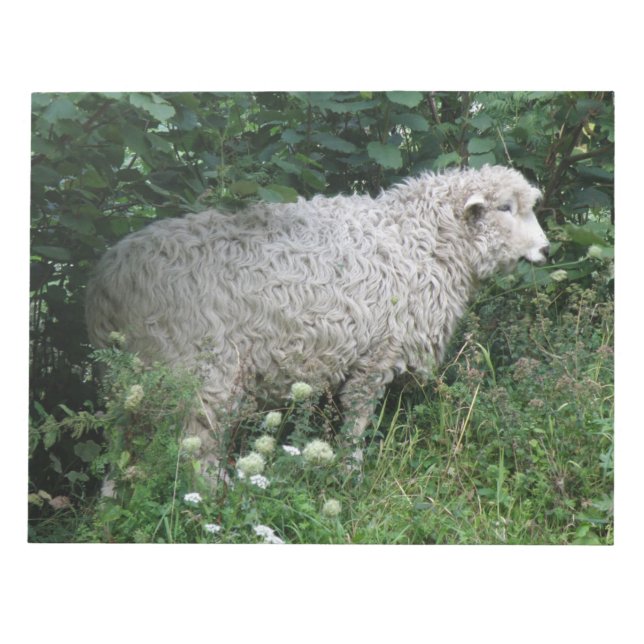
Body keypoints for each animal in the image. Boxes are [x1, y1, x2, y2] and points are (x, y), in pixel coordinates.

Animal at [86, 165, 550, 474]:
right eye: (505, 208)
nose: (546, 250)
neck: (421, 240)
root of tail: (107, 280)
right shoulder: (377, 353)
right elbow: (357, 421)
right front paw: (350, 473)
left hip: (127, 380)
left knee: (118, 442)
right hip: (199, 369)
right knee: (197, 446)